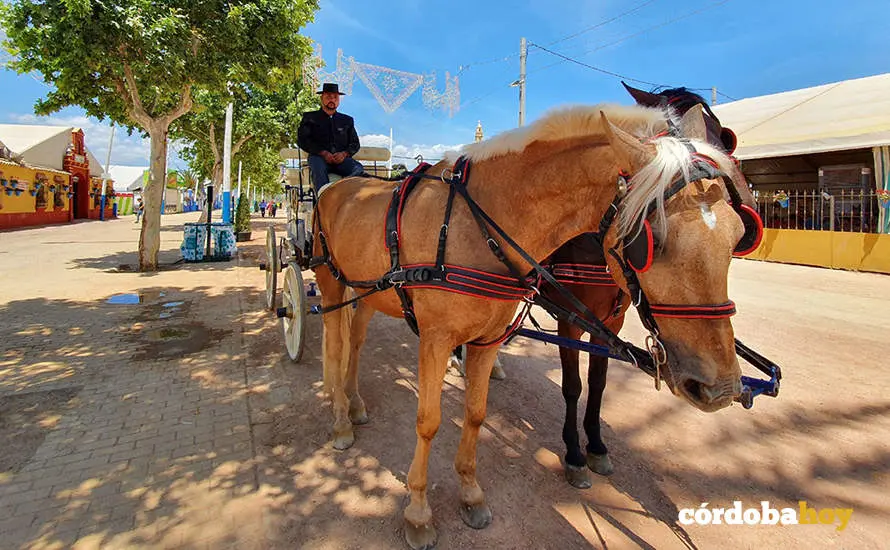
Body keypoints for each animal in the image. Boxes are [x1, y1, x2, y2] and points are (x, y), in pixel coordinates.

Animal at [311, 103, 751, 549]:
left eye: (738, 236)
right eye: (651, 241)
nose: (722, 388)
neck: (474, 224)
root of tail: (341, 185)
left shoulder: (488, 340)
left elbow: (475, 412)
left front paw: (470, 493)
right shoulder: (435, 340)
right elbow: (429, 421)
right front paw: (418, 512)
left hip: (367, 291)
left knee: (357, 341)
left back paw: (354, 402)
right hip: (331, 284)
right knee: (335, 345)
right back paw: (340, 419)